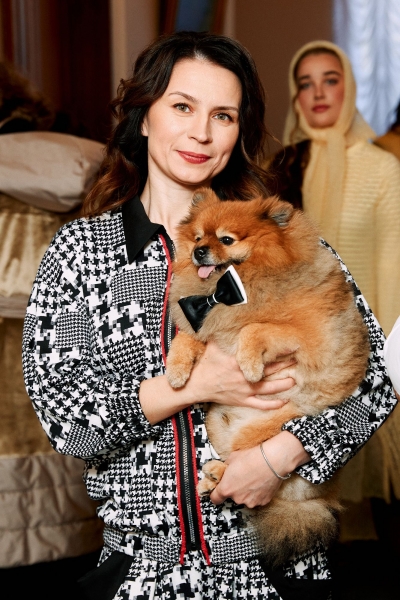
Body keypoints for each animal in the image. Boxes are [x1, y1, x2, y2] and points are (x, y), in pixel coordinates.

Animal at [166, 187, 370, 565]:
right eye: (198, 237)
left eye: (226, 239)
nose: (198, 251)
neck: (232, 286)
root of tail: (318, 499)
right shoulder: (206, 322)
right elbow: (187, 337)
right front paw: (175, 372)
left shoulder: (307, 335)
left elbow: (257, 328)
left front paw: (249, 364)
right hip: (217, 422)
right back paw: (213, 476)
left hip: (263, 432)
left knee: (253, 471)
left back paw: (219, 475)